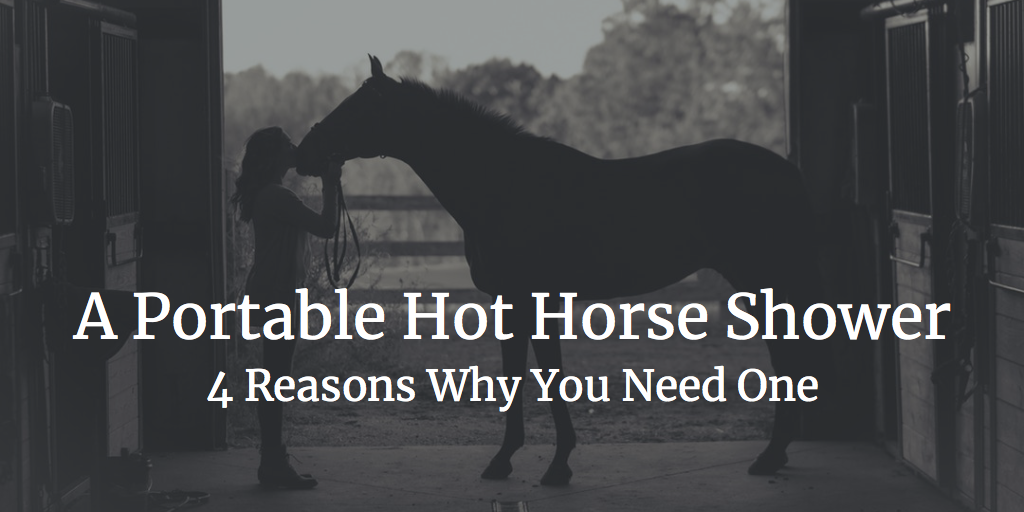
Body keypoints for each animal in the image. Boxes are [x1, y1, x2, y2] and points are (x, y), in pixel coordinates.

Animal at [296, 55, 832, 485]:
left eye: (357, 108)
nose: (304, 153)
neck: (503, 185)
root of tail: (786, 169)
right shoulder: (514, 303)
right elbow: (520, 375)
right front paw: (507, 461)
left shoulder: (534, 299)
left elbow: (549, 378)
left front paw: (555, 467)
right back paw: (775, 455)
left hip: (763, 283)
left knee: (789, 357)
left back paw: (770, 456)